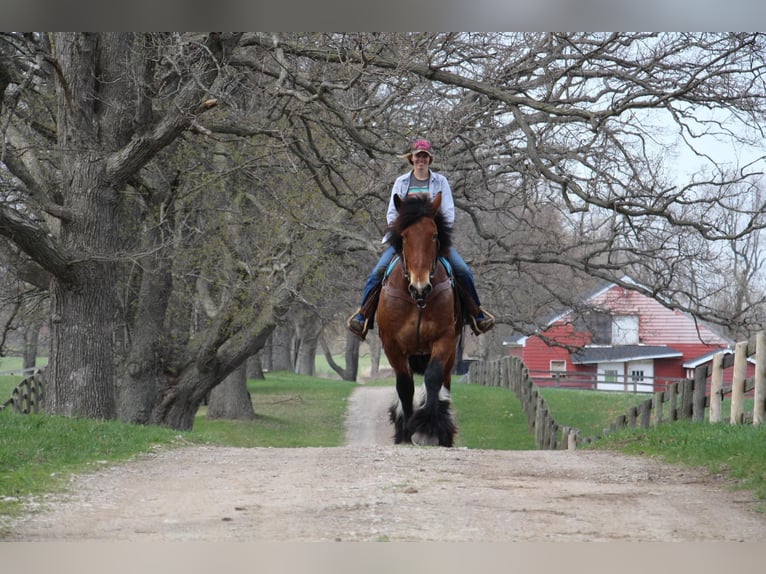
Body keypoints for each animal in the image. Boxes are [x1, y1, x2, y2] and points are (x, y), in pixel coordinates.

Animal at [378, 191, 462, 448]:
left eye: (434, 235)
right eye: (404, 236)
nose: (420, 286)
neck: (417, 300)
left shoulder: (445, 339)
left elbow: (433, 378)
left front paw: (428, 426)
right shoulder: (392, 344)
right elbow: (405, 386)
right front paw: (407, 430)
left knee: (443, 382)